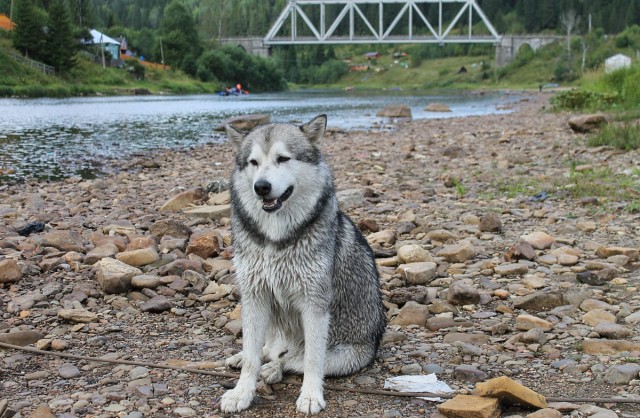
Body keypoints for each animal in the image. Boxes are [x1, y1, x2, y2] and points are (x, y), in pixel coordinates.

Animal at [221, 115, 384, 414]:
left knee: (291, 359)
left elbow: (311, 360)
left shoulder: (314, 304)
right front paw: (241, 393)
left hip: (345, 357)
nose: (261, 186)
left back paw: (273, 369)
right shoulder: (254, 297)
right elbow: (251, 358)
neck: (275, 239)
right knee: (269, 348)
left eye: (283, 158)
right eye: (253, 162)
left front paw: (310, 396)